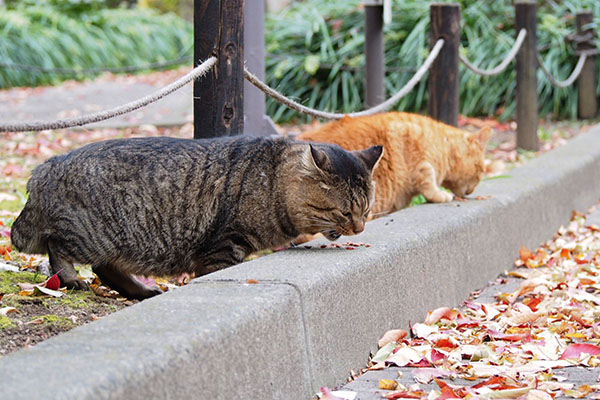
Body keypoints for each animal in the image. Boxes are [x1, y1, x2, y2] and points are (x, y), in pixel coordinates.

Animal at [11, 136, 382, 298]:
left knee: (107, 269)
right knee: (58, 246)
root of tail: (46, 167)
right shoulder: (223, 245)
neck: (272, 179)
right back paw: (70, 278)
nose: (359, 227)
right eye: (345, 212)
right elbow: (219, 270)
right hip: (90, 235)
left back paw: (143, 292)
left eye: (366, 211)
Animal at [300, 111, 492, 217]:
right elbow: (428, 178)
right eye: (480, 172)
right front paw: (440, 194)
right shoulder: (420, 161)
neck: (442, 143)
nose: (471, 191)